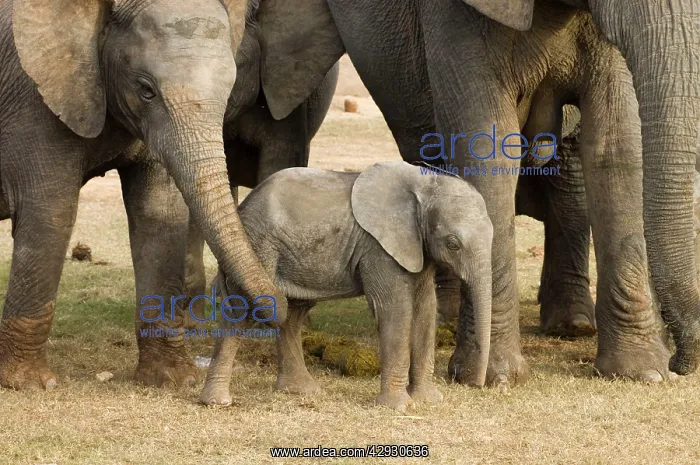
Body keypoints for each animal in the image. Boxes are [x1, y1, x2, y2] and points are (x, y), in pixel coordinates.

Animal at [0, 0, 344, 390]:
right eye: (146, 89)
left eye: (230, 88)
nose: (281, 305)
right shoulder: (36, 101)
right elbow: (51, 211)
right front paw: (30, 384)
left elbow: (160, 214)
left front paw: (174, 379)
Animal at [199, 161, 494, 412]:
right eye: (453, 244)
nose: (475, 382)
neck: (425, 183)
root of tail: (243, 206)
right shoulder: (378, 247)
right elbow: (395, 309)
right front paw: (399, 407)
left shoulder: (416, 247)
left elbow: (425, 309)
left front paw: (428, 400)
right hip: (257, 243)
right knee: (242, 310)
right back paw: (217, 402)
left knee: (293, 314)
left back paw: (300, 391)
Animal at [321, 0, 692, 386]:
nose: (682, 360)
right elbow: (487, 148)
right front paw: (490, 376)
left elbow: (615, 145)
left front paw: (644, 373)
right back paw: (447, 318)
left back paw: (572, 325)